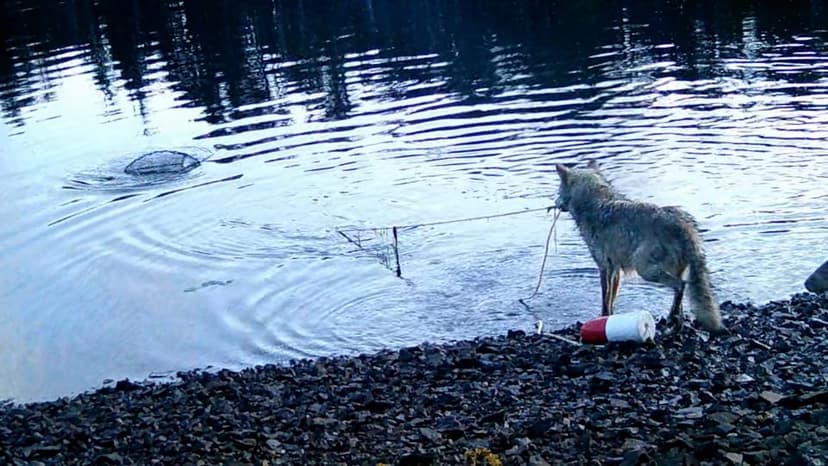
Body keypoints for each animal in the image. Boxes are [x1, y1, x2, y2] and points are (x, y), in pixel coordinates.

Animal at [554, 161, 723, 333]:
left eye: (558, 191)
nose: (555, 203)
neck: (594, 203)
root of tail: (686, 227)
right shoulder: (616, 270)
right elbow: (612, 298)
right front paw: (609, 315)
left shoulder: (604, 266)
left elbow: (605, 297)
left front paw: (602, 316)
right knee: (681, 296)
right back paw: (675, 322)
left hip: (645, 270)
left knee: (680, 286)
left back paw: (672, 321)